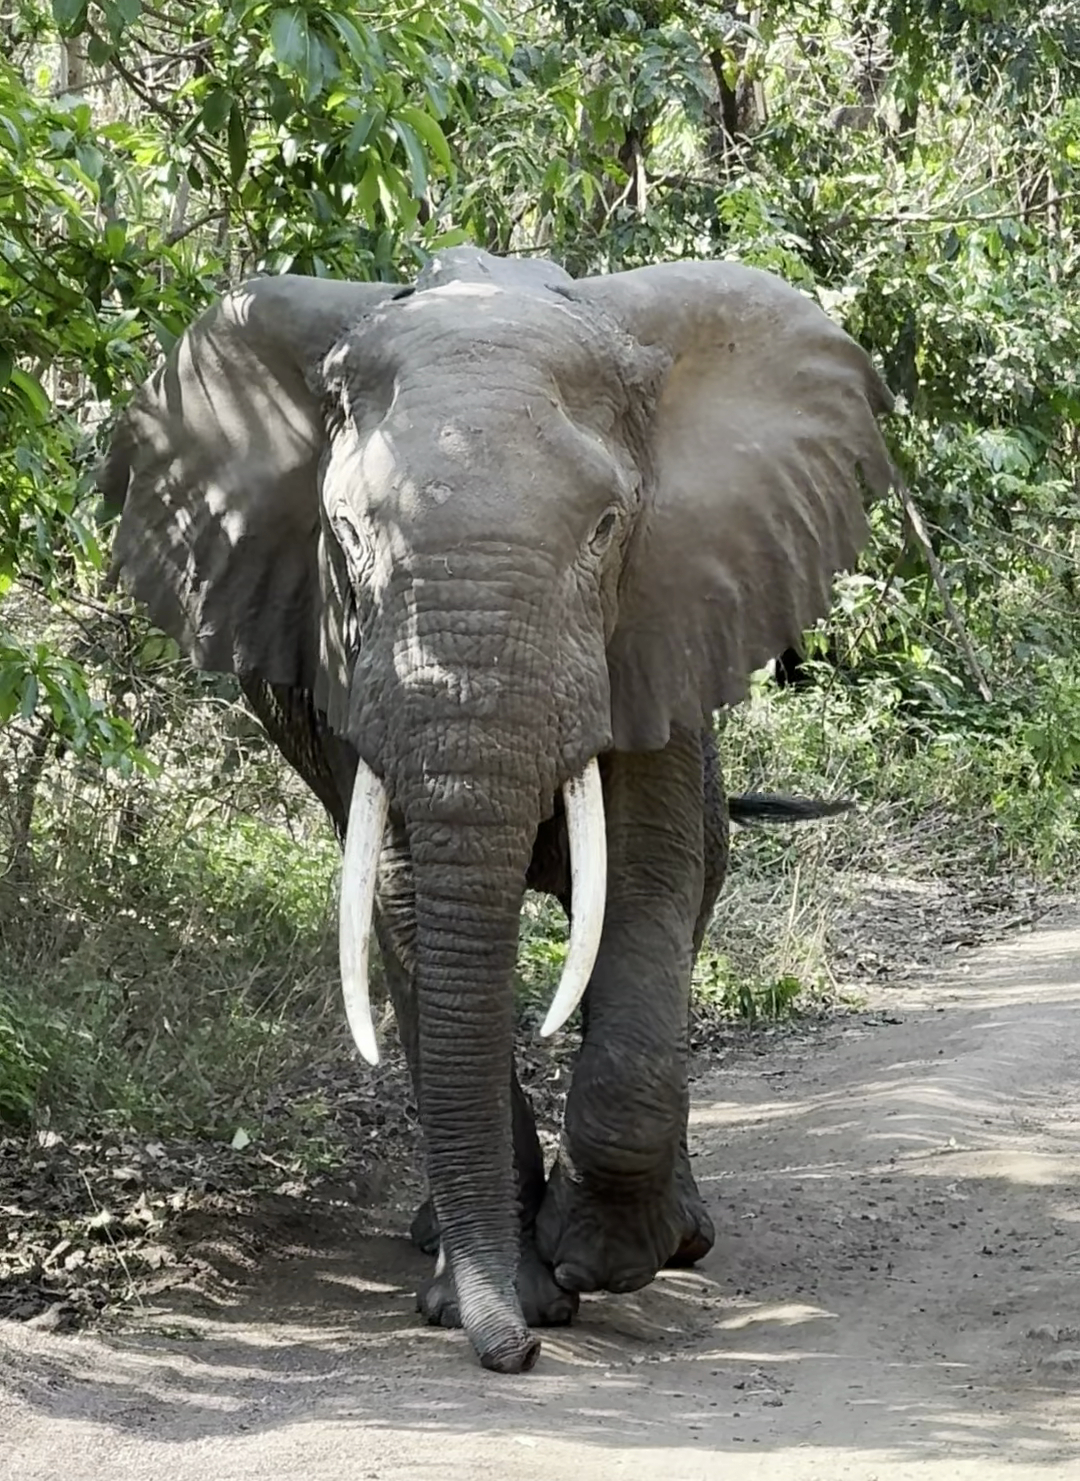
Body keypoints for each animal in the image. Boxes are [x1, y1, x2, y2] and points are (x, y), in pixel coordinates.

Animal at [99, 246, 896, 1373]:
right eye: (344, 538)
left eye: (606, 530)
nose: (508, 1352)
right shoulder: (343, 662)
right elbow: (401, 902)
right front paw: (501, 1289)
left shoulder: (658, 616)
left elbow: (648, 875)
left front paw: (602, 1261)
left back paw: (674, 1240)